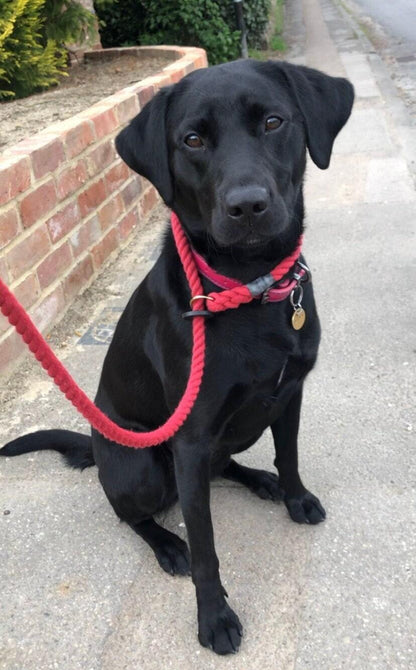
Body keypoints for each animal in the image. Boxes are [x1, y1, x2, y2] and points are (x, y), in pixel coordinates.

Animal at [1, 59, 352, 656]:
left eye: (273, 122)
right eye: (192, 140)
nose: (248, 205)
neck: (246, 285)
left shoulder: (289, 396)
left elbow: (290, 455)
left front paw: (294, 496)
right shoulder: (189, 440)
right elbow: (206, 545)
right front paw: (214, 617)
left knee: (225, 465)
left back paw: (260, 481)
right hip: (143, 465)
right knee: (132, 515)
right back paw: (166, 544)